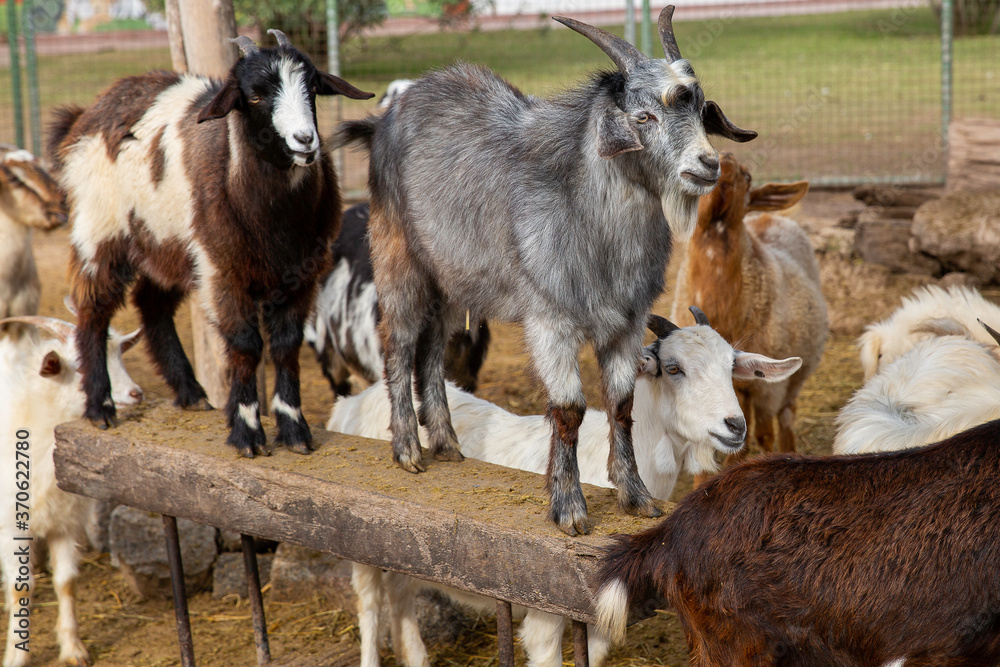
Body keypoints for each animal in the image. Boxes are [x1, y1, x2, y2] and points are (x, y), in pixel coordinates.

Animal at [1, 315, 141, 667]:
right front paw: (15, 655)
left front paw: (73, 647)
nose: (136, 393)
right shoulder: (9, 526)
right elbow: (21, 588)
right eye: (82, 366)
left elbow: (66, 582)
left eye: (120, 355)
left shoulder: (64, 522)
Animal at [46, 31, 372, 458]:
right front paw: (248, 432)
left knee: (151, 304)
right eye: (254, 96)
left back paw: (190, 392)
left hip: (167, 244)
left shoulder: (300, 275)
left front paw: (294, 429)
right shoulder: (223, 271)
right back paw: (100, 407)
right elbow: (246, 346)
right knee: (94, 310)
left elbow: (286, 345)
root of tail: (88, 112)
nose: (305, 141)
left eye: (313, 88)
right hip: (100, 229)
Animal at [328, 309, 802, 667]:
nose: (735, 426)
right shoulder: (545, 610)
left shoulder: (601, 615)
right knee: (369, 603)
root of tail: (351, 404)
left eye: (731, 367)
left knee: (400, 590)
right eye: (673, 369)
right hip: (360, 537)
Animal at [337, 6, 756, 535]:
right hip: (399, 259)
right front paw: (569, 507)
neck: (592, 222)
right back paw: (409, 450)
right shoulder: (550, 322)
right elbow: (569, 409)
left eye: (701, 112)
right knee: (400, 342)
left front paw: (635, 496)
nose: (706, 165)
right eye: (644, 116)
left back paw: (448, 445)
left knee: (433, 349)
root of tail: (386, 119)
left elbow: (620, 403)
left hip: (453, 279)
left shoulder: (626, 323)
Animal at [670, 152, 826, 455]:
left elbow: (765, 435)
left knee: (786, 415)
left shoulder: (768, 388)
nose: (723, 160)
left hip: (795, 374)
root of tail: (769, 216)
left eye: (748, 176)